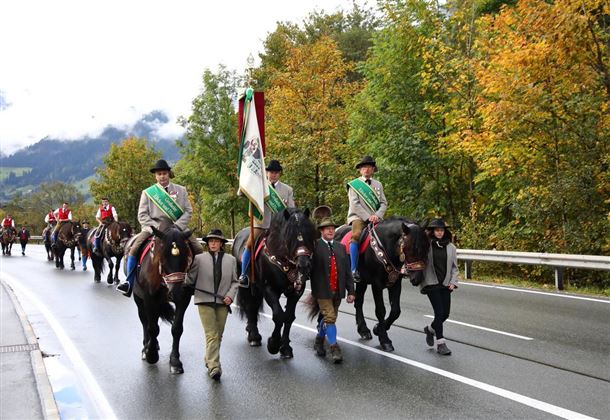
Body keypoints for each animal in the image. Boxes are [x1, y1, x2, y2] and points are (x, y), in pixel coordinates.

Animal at [234, 208, 316, 360]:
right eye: (289, 236)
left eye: (309, 234)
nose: (304, 266)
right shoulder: (269, 289)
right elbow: (279, 316)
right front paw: (273, 344)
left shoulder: (296, 292)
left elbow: (288, 317)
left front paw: (285, 348)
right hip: (248, 285)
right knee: (250, 306)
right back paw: (254, 337)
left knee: (253, 306)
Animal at [332, 217, 428, 352]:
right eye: (410, 248)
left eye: (426, 247)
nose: (417, 278)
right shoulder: (376, 285)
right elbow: (380, 310)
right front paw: (384, 339)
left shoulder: (395, 283)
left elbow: (396, 310)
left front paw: (377, 329)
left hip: (362, 282)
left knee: (359, 302)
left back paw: (363, 330)